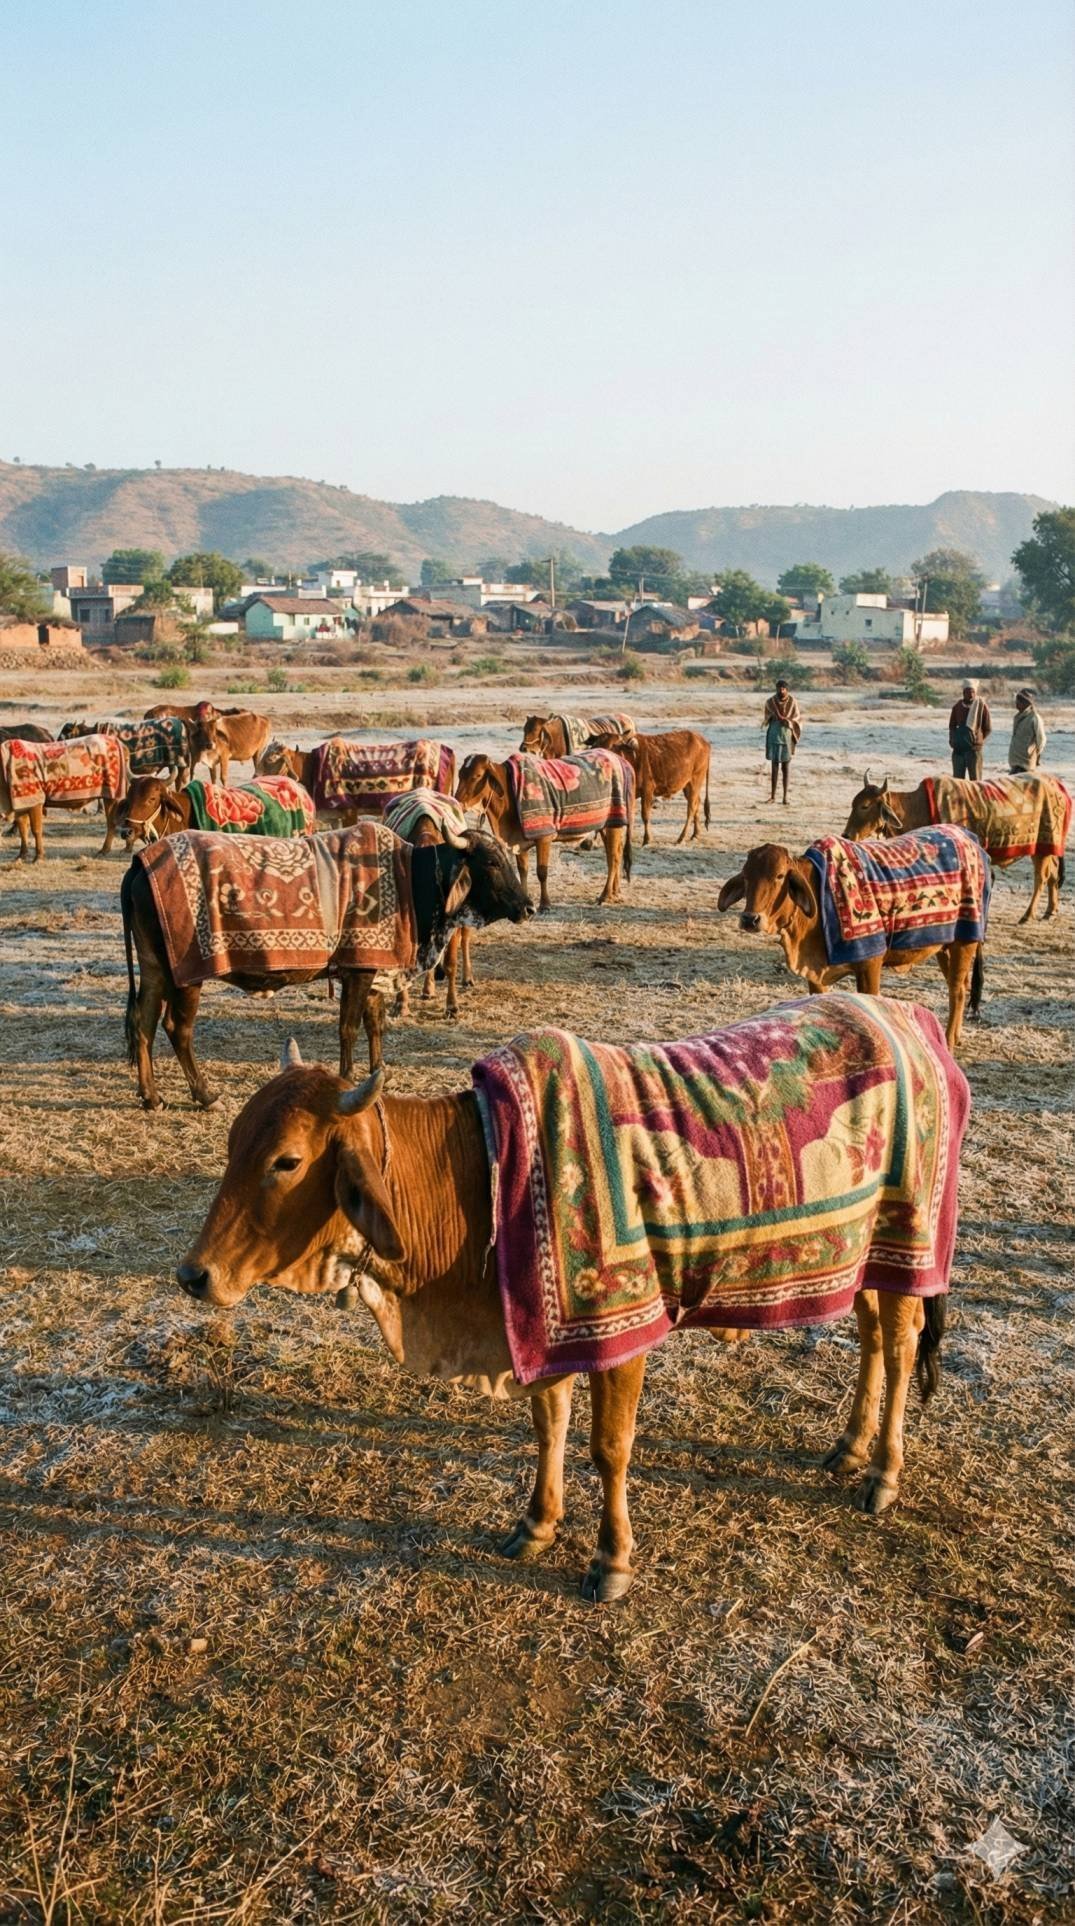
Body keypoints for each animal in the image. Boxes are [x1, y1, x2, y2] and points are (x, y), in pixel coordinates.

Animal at [121, 828, 532, 1110]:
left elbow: (375, 1024)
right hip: (188, 976)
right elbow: (348, 1028)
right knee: (177, 1029)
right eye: (492, 862)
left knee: (143, 1023)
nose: (528, 907)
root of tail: (141, 860)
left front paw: (380, 1070)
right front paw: (348, 1077)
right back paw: (205, 1095)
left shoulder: (374, 970)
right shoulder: (357, 971)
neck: (411, 880)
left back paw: (150, 1095)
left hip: (156, 969)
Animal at [176, 1015, 955, 1601]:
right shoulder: (539, 1329)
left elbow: (607, 1448)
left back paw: (883, 1471)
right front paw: (537, 1523)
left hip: (905, 1246)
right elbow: (549, 1426)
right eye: (232, 1140)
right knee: (872, 1341)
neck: (481, 1173)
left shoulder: (620, 1330)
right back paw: (848, 1447)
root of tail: (915, 1022)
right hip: (860, 1260)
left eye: (287, 1161)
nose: (194, 1274)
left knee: (901, 1345)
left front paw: (611, 1559)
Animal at [455, 751, 632, 911]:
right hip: (605, 826)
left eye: (477, 776)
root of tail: (618, 759)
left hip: (614, 822)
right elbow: (523, 871)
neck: (509, 795)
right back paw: (615, 892)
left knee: (614, 858)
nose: (458, 802)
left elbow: (541, 872)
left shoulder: (544, 838)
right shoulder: (519, 842)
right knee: (614, 854)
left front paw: (545, 904)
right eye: (460, 774)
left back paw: (605, 895)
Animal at [717, 836, 985, 1049]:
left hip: (965, 941)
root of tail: (970, 839)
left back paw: (949, 1040)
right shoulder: (815, 975)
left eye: (780, 876)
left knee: (957, 990)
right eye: (746, 876)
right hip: (944, 947)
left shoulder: (870, 965)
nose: (750, 919)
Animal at [844, 770, 1069, 924]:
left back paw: (1028, 914)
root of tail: (1058, 785)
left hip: (1041, 847)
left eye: (865, 806)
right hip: (1048, 848)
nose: (847, 835)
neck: (918, 806)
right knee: (1053, 874)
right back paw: (1050, 910)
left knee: (1041, 878)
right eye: (853, 803)